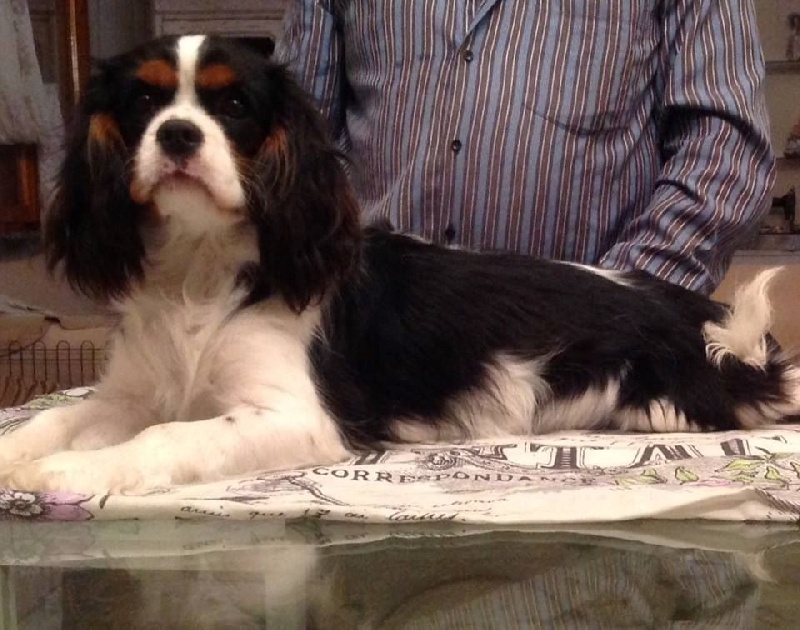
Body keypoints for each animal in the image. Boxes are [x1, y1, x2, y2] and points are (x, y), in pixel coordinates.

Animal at [0, 35, 798, 495]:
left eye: (234, 106)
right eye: (143, 99)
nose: (177, 135)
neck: (200, 268)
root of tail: (687, 309)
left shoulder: (296, 417)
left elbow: (168, 435)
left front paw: (77, 471)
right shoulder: (131, 392)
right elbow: (57, 419)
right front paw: (27, 451)